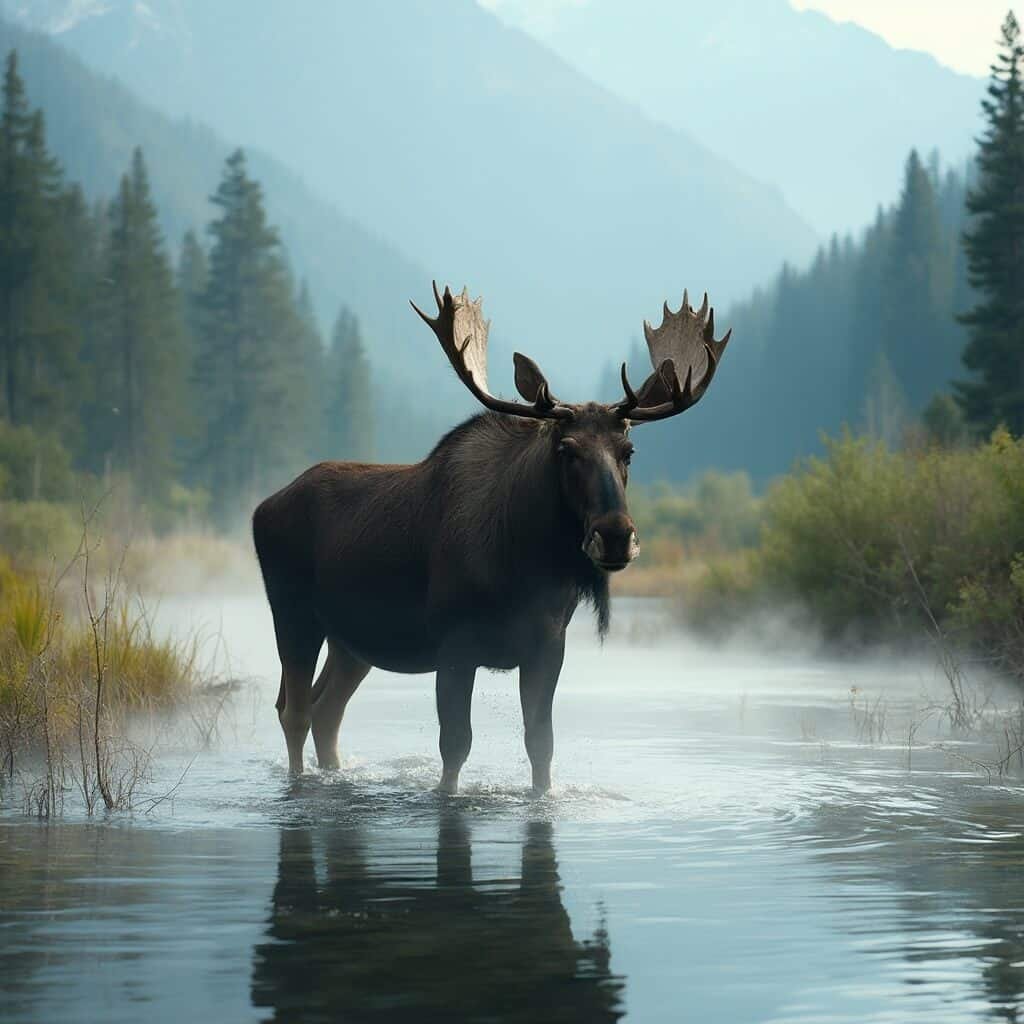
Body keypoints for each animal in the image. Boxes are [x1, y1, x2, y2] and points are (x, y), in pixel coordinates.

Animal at [252, 283, 731, 793]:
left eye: (629, 450)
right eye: (566, 449)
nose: (616, 536)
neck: (525, 565)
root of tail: (263, 507)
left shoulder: (548, 646)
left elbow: (541, 744)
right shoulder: (454, 643)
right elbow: (454, 746)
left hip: (352, 641)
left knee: (326, 712)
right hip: (294, 613)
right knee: (295, 711)